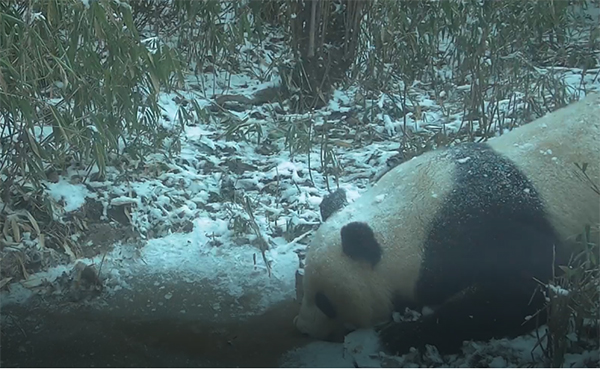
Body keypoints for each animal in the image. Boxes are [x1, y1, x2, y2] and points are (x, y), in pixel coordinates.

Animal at [294, 92, 600, 354]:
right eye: (303, 289)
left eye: (324, 301)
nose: (304, 329)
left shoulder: (487, 225)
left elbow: (531, 286)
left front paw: (402, 334)